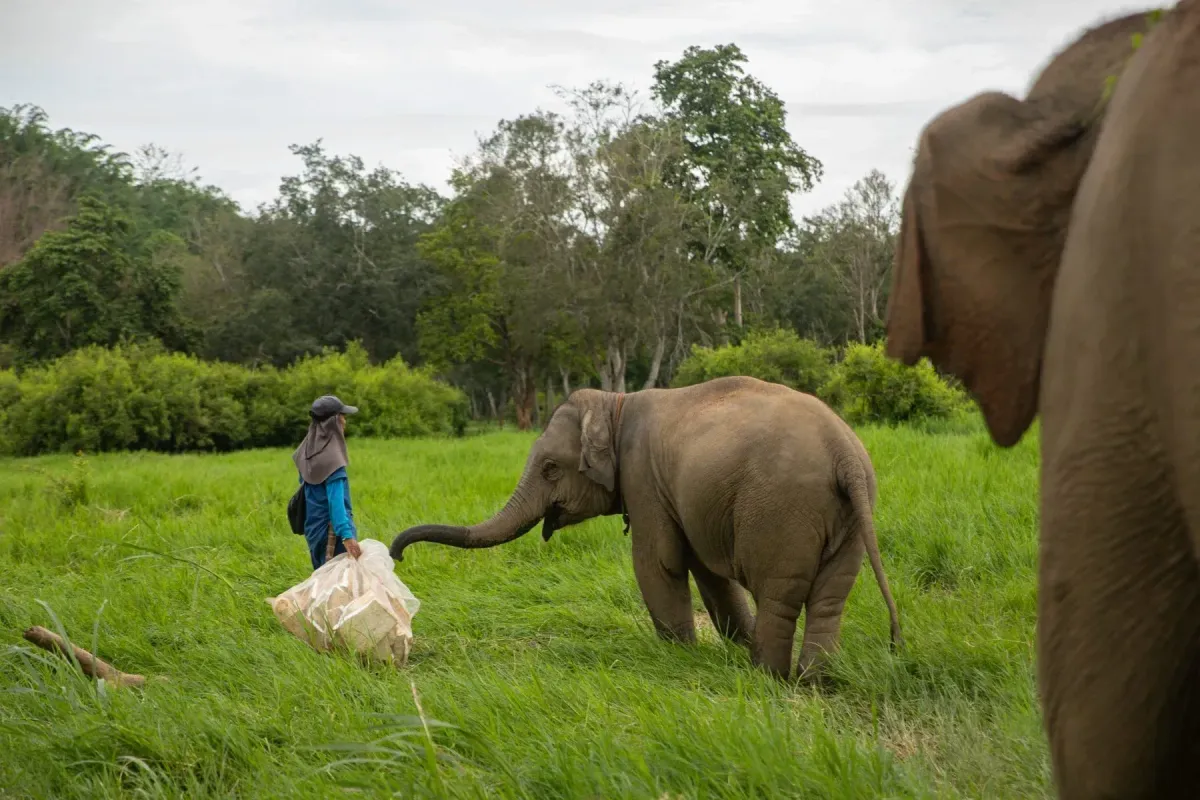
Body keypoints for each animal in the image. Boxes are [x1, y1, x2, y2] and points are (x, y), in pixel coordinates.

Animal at [388, 376, 902, 681]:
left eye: (551, 468)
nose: (395, 554)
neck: (615, 403)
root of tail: (843, 454)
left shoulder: (644, 479)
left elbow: (658, 563)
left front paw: (681, 656)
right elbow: (707, 573)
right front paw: (727, 644)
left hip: (780, 512)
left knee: (779, 596)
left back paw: (767, 678)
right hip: (848, 520)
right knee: (830, 600)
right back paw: (815, 683)